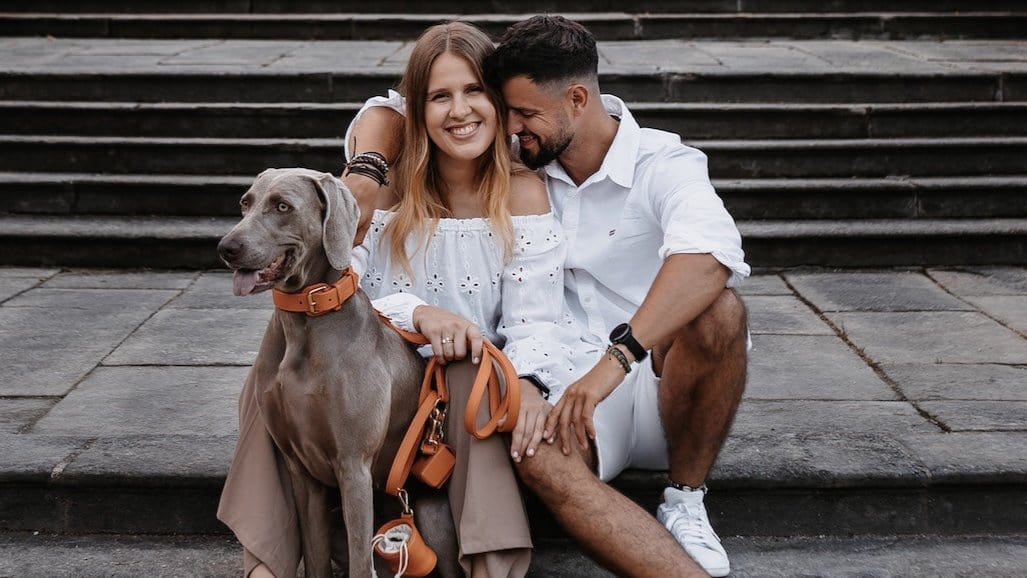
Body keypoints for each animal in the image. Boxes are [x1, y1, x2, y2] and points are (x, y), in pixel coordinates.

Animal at [218, 168, 456, 577]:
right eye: (245, 203)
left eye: (282, 206)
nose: (226, 247)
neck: (305, 321)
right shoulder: (302, 471)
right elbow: (314, 558)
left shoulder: (353, 465)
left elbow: (361, 563)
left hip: (432, 516)